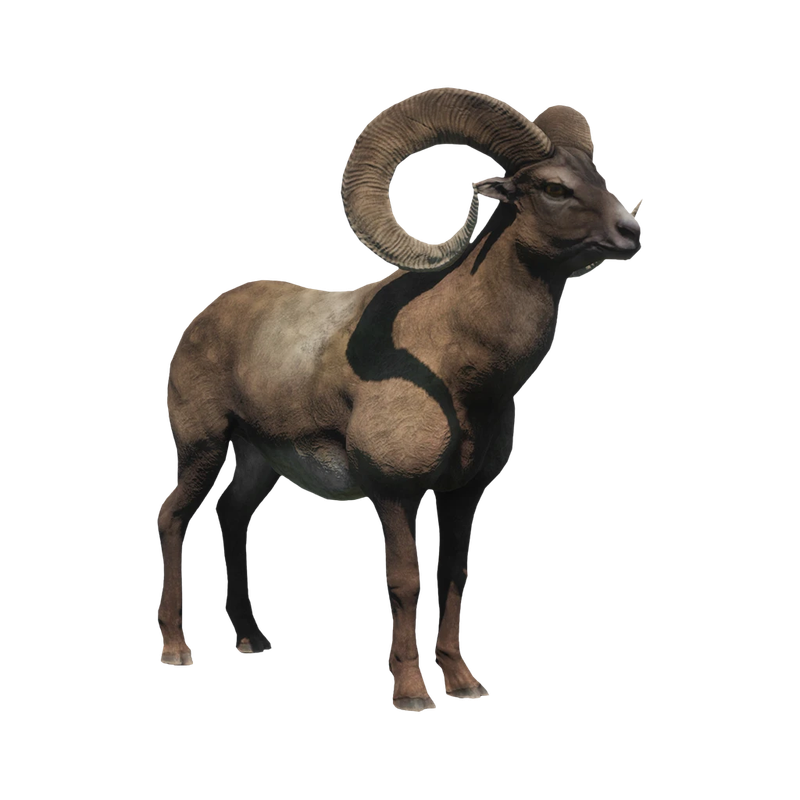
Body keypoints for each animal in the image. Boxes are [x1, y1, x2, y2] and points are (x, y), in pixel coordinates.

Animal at [157, 87, 643, 711]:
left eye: (594, 174)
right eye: (554, 187)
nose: (631, 232)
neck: (461, 371)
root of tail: (202, 321)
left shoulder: (462, 494)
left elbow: (453, 575)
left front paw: (464, 684)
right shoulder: (394, 493)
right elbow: (405, 580)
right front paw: (413, 694)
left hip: (257, 461)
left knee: (232, 514)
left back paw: (251, 640)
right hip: (203, 447)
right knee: (173, 518)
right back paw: (176, 649)